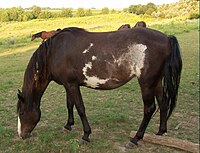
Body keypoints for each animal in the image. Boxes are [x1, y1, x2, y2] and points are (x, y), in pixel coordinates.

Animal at [17, 26, 182, 148]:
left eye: (22, 113)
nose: (21, 135)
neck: (55, 52)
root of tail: (167, 38)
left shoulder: (71, 85)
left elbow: (80, 108)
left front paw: (85, 135)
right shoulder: (68, 84)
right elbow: (70, 104)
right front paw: (68, 125)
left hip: (147, 82)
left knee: (149, 109)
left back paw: (135, 139)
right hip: (156, 81)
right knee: (163, 102)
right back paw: (160, 132)